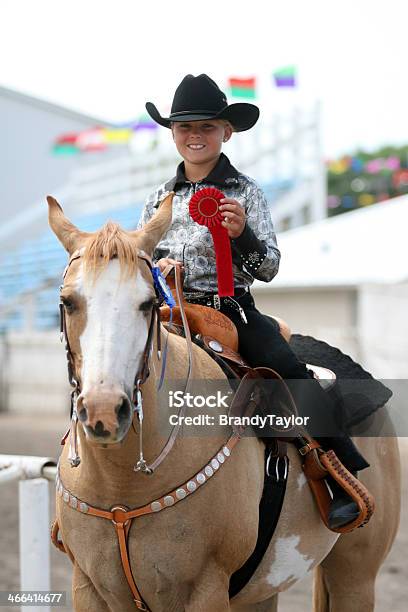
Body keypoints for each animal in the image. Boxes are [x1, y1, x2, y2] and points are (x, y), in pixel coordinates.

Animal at [48, 192, 402, 612]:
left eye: (147, 303)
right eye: (68, 301)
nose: (104, 411)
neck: (122, 488)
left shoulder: (206, 589)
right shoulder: (87, 586)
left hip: (355, 575)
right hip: (263, 591)